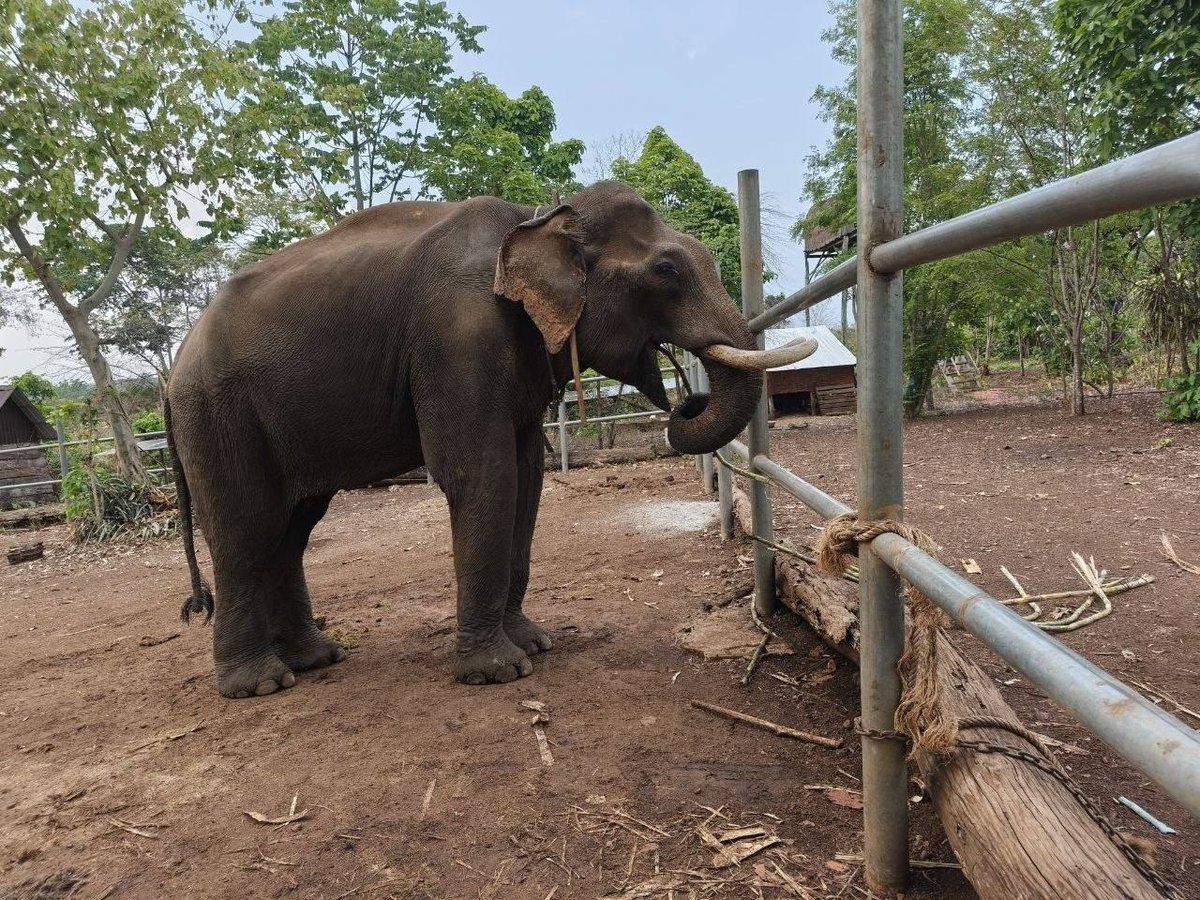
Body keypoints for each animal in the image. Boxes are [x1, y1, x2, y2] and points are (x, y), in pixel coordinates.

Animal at [165, 181, 810, 698]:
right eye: (667, 271)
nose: (686, 402)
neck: (542, 216)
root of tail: (175, 365)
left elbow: (527, 480)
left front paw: (536, 644)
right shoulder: (457, 339)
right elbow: (483, 475)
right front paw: (501, 672)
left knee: (293, 528)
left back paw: (318, 660)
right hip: (218, 412)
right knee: (247, 527)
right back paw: (260, 686)